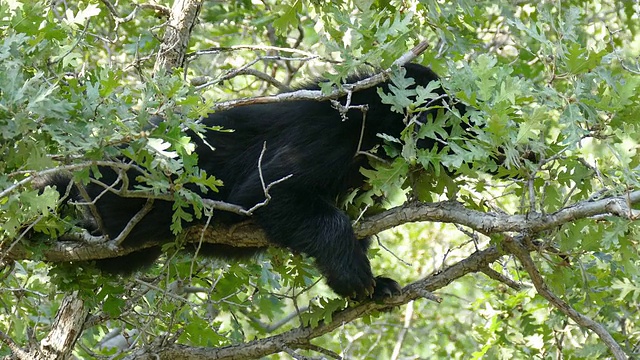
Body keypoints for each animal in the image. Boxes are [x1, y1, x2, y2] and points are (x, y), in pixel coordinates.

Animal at [43, 63, 460, 300]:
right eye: (445, 113)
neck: (367, 118)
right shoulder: (323, 138)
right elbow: (272, 194)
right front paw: (355, 275)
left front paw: (377, 286)